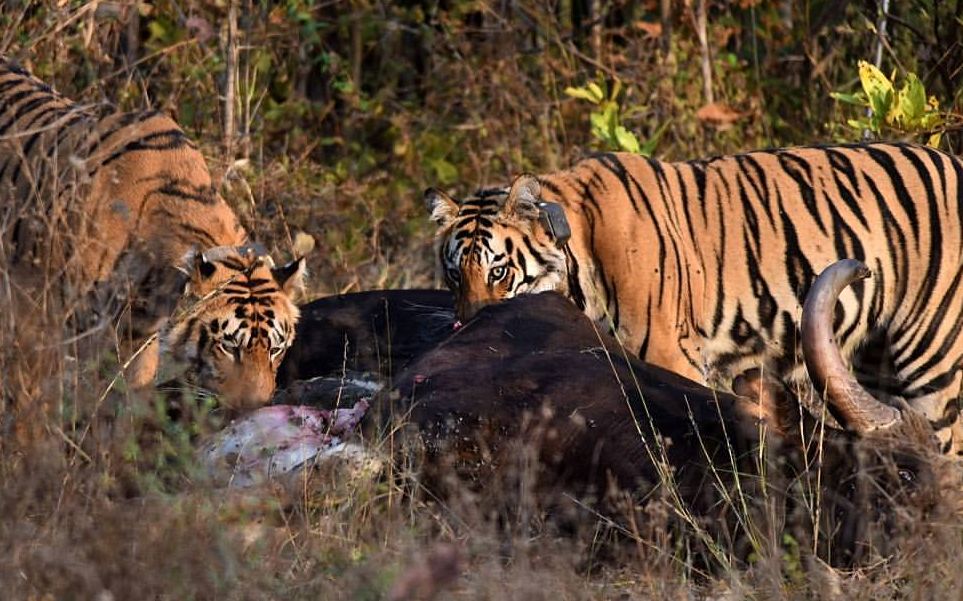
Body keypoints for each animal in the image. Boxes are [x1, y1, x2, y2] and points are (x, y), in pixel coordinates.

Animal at [0, 57, 303, 412]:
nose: (252, 408)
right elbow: (33, 396)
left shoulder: (137, 332)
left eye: (275, 348)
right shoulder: (38, 312)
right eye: (229, 346)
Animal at [425, 143, 963, 455]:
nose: (468, 327)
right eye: (454, 276)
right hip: (877, 357)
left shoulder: (671, 355)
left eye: (498, 271)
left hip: (936, 358)